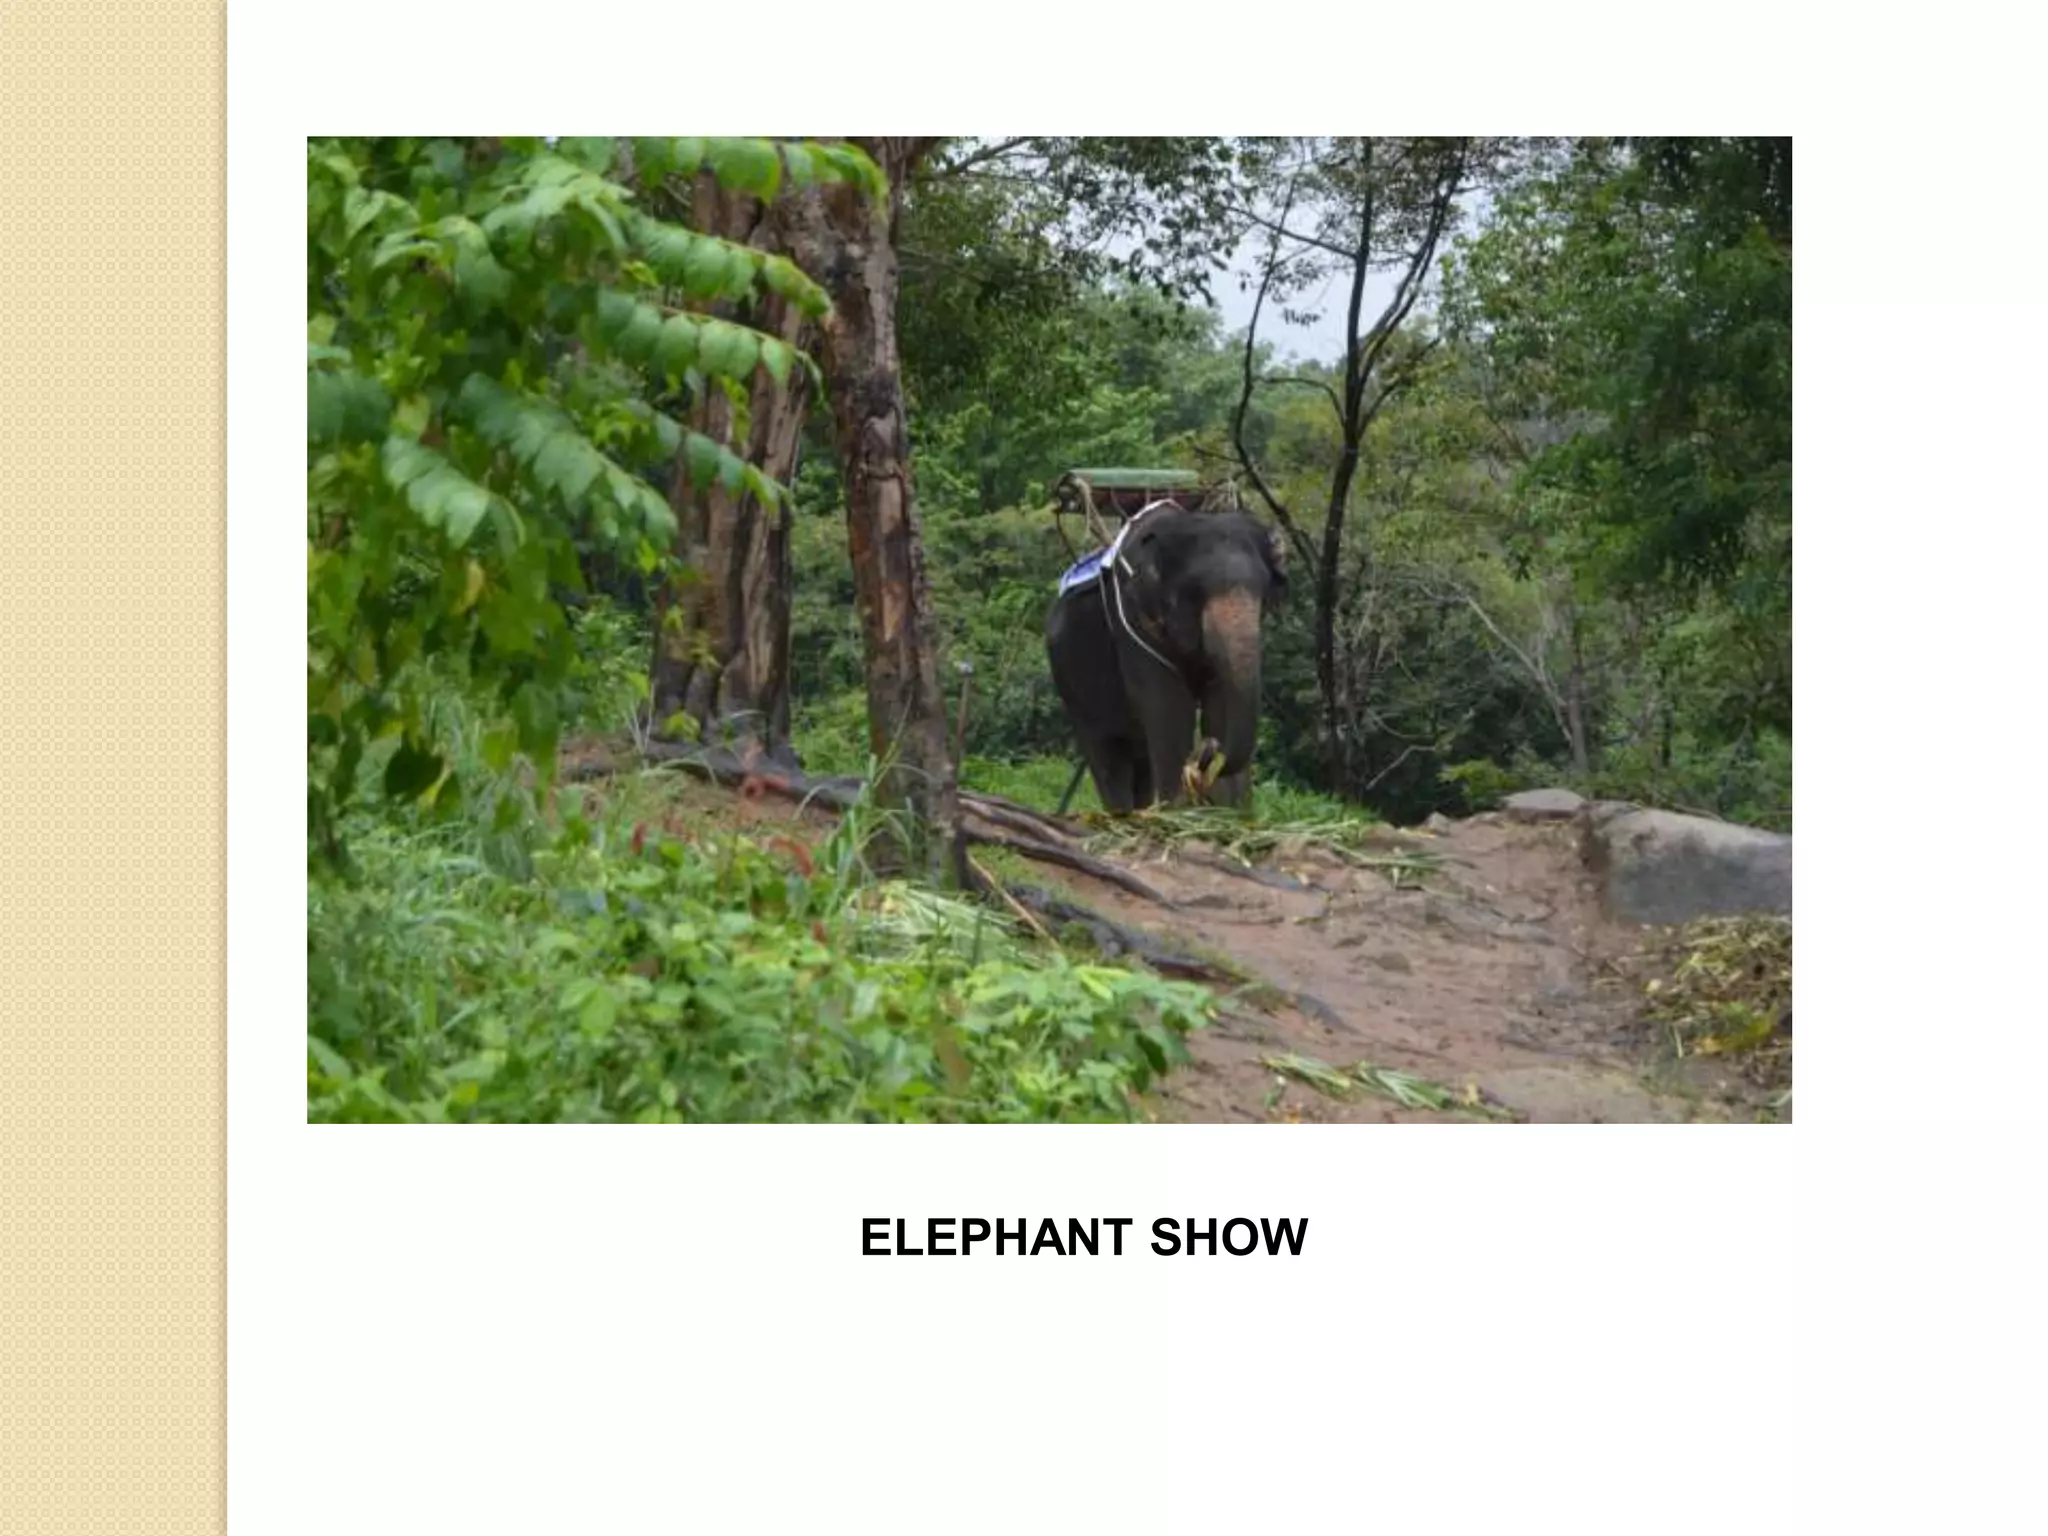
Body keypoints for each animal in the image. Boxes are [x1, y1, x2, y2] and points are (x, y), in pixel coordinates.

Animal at [1045, 503, 1287, 814]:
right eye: (1195, 591)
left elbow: (1219, 699)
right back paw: (1123, 816)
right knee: (1107, 752)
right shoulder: (1132, 626)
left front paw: (1230, 814)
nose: (1206, 750)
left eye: (1262, 590)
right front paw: (1180, 813)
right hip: (1071, 681)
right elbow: (1168, 705)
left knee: (1140, 759)